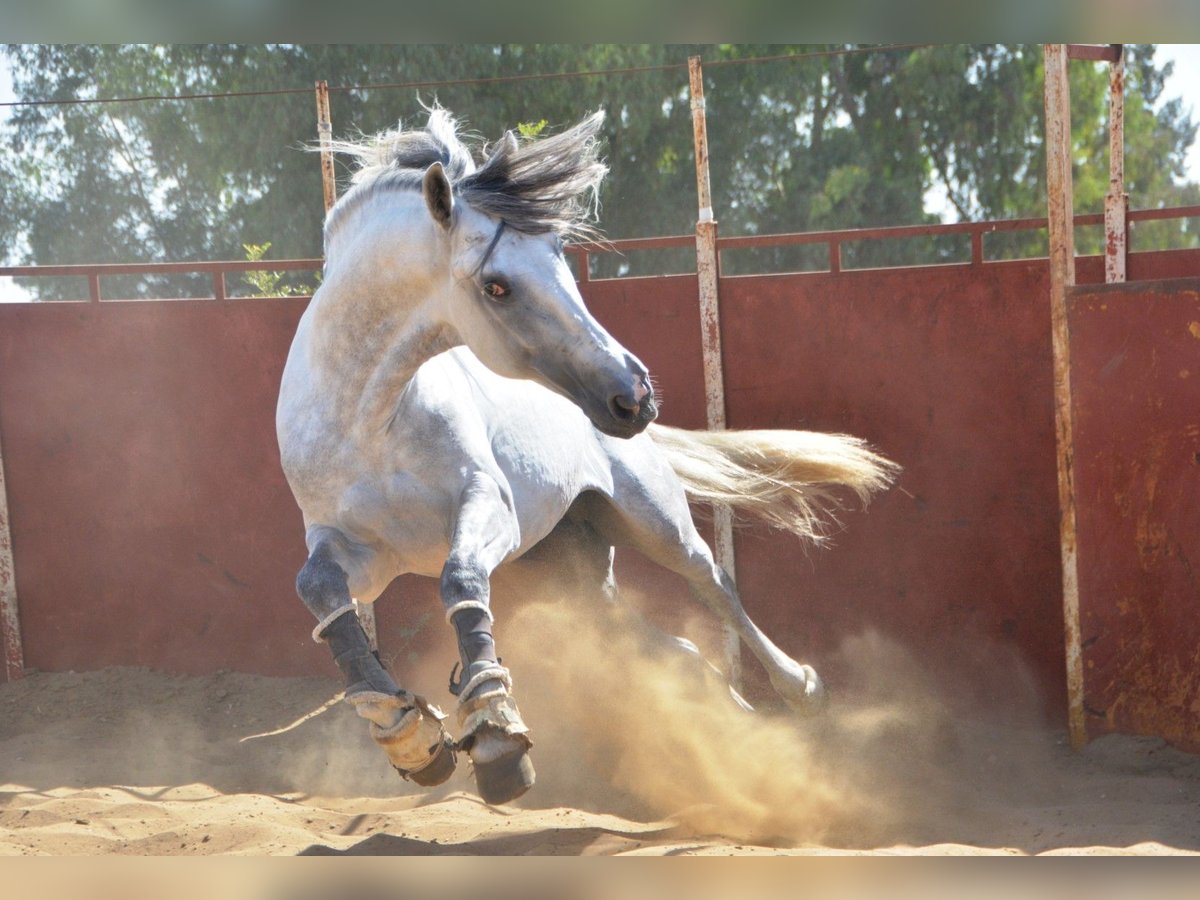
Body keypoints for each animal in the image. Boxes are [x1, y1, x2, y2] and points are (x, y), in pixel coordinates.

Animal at [272, 109, 892, 806]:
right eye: (497, 285)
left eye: (562, 262)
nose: (634, 394)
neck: (371, 420)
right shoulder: (357, 551)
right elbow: (318, 589)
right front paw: (407, 732)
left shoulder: (487, 506)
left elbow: (460, 579)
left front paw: (495, 736)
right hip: (570, 573)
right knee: (675, 648)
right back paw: (742, 730)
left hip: (652, 522)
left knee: (714, 586)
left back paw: (801, 689)